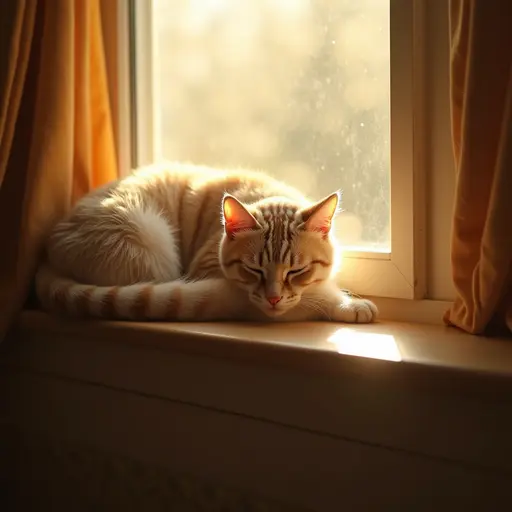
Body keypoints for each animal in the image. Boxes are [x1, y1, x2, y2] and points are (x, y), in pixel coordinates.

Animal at [36, 163, 378, 324]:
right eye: (254, 270)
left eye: (296, 271)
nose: (273, 299)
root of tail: (51, 254)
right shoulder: (215, 279)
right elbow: (314, 298)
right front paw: (347, 304)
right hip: (149, 238)